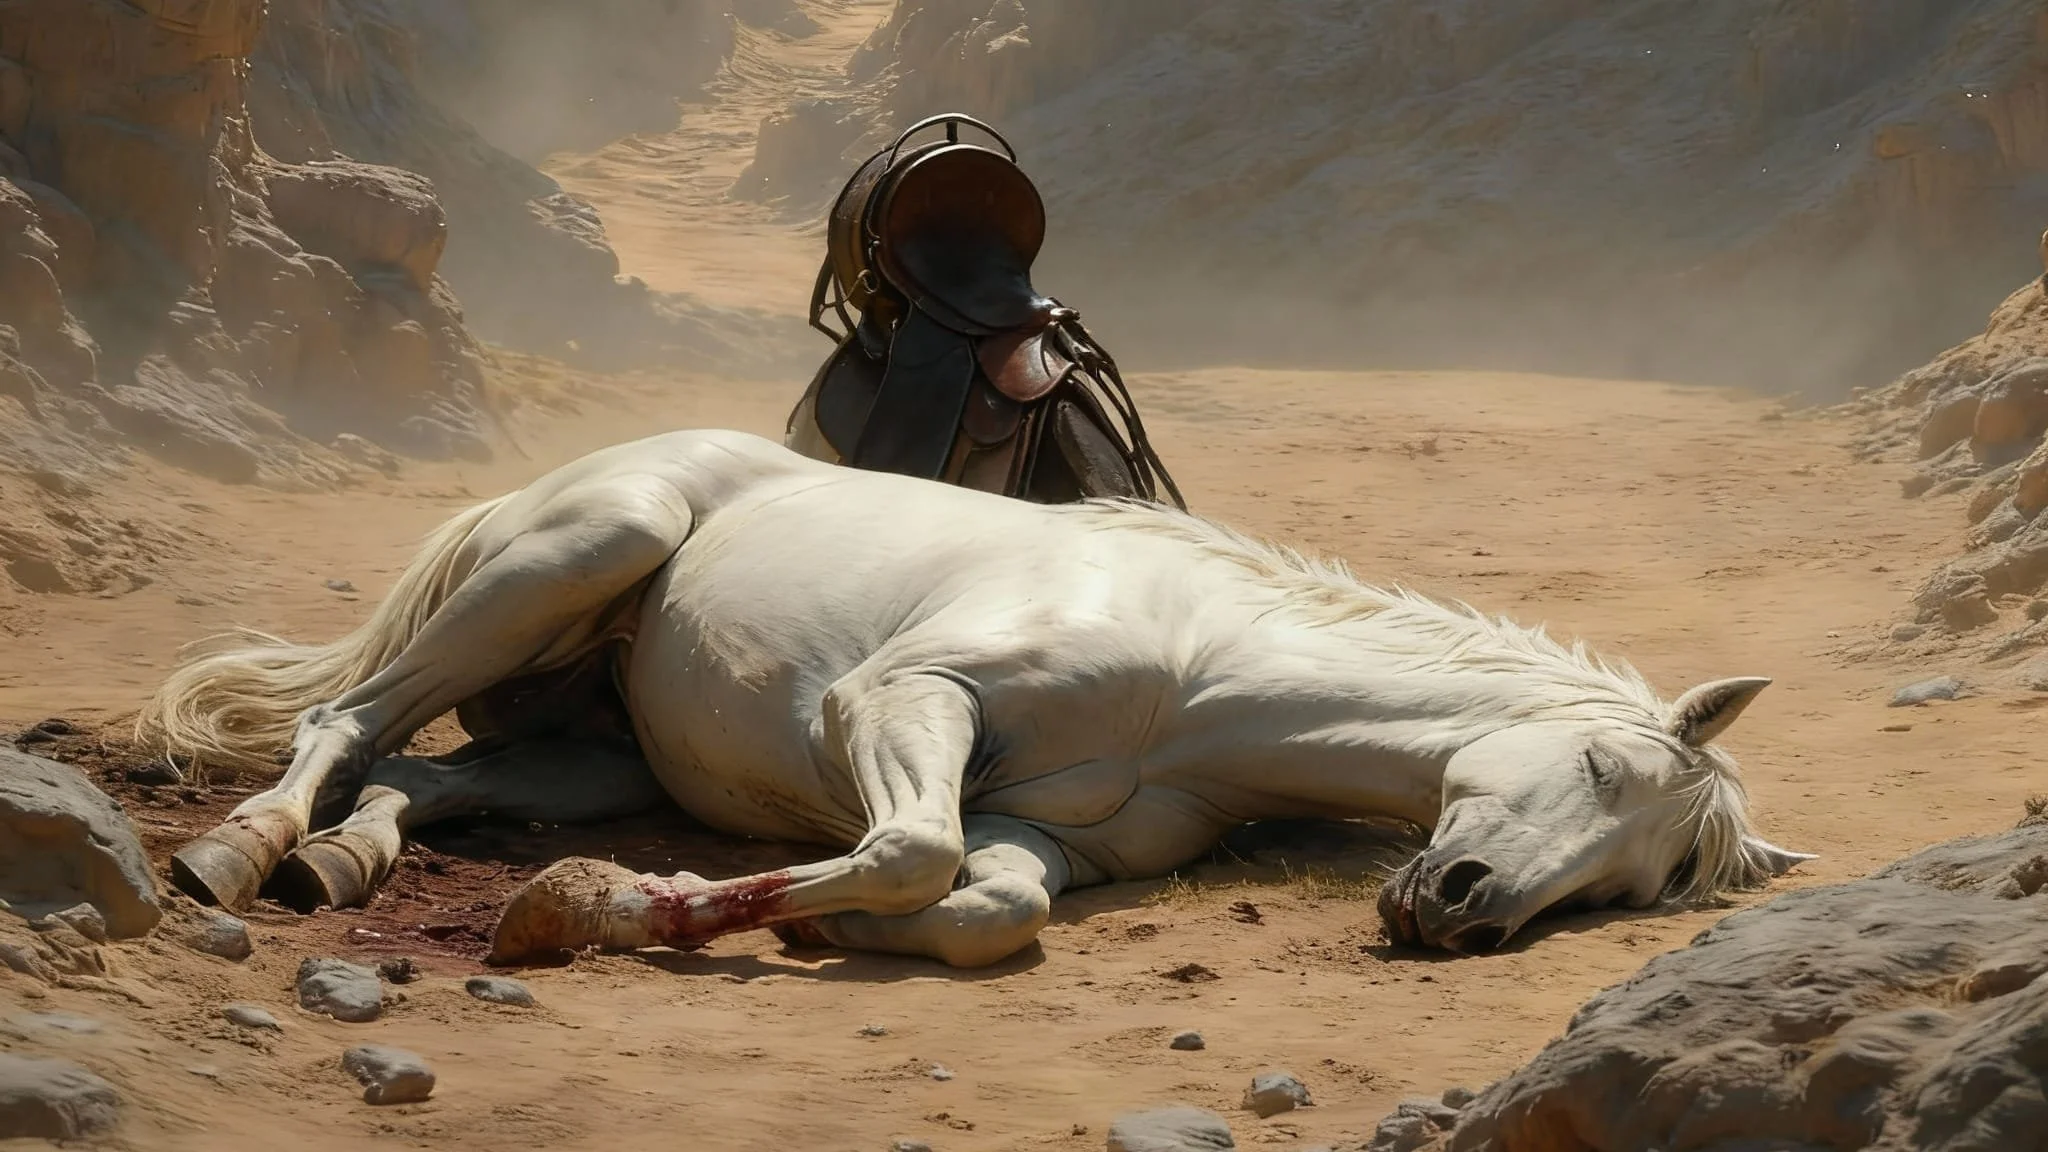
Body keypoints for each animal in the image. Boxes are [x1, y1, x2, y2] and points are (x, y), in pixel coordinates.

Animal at [138, 429, 1812, 967]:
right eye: (1601, 773)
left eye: (1645, 886)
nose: (1465, 911)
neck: (1202, 673)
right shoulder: (906, 700)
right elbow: (910, 851)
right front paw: (646, 913)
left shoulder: (1040, 836)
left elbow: (983, 905)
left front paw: (742, 921)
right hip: (573, 556)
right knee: (346, 723)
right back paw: (233, 854)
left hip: (597, 756)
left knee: (418, 780)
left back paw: (345, 864)